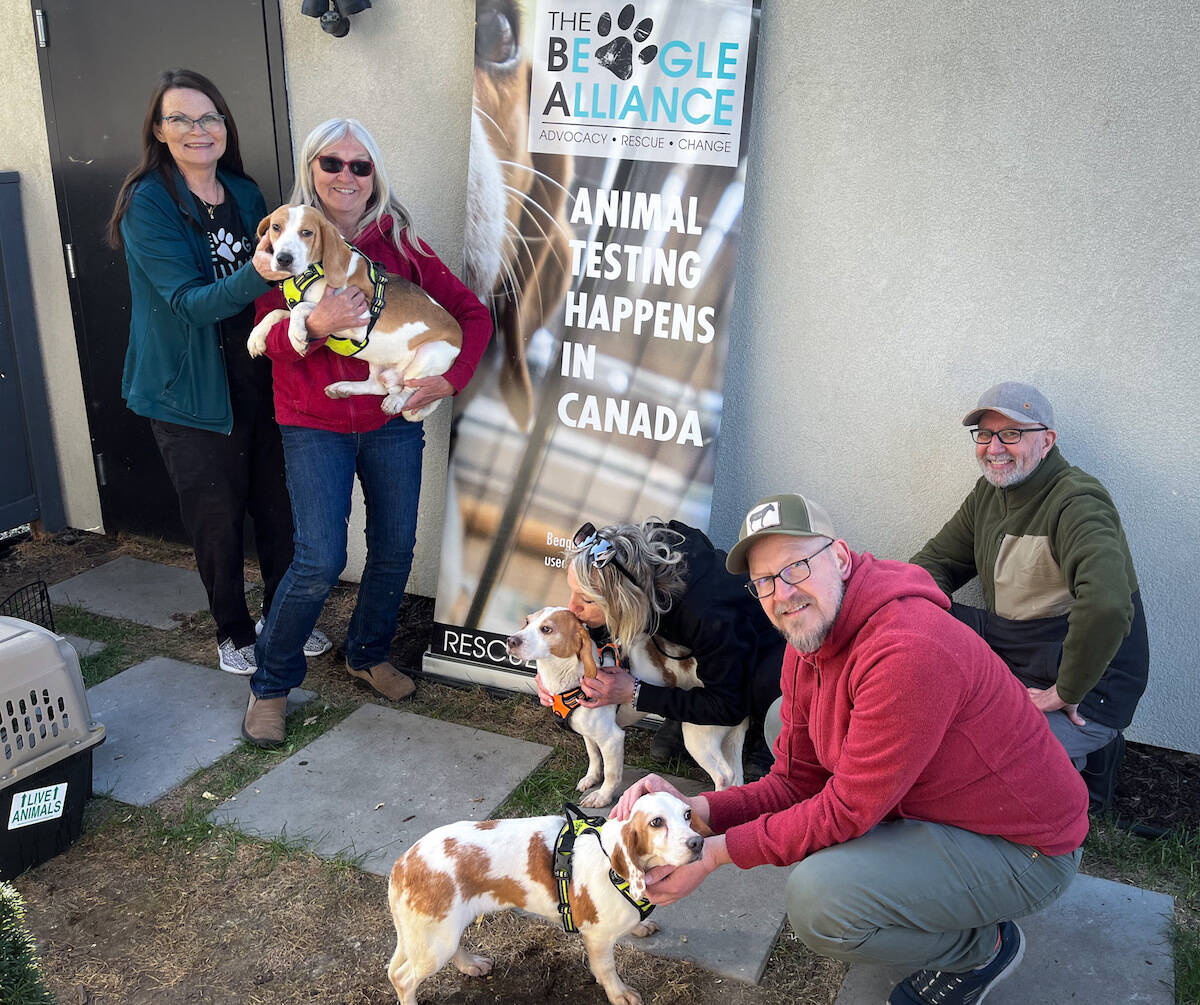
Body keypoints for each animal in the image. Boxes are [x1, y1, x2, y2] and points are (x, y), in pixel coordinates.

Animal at [246, 205, 460, 422]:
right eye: (276, 227)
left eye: (307, 232)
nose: (283, 259)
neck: (314, 271)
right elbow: (276, 312)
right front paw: (256, 337)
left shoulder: (358, 320)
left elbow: (302, 307)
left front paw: (296, 335)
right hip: (377, 360)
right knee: (377, 386)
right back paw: (343, 387)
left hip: (429, 354)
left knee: (411, 388)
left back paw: (396, 400)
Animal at [384, 796, 700, 1005]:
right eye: (656, 822)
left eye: (687, 814)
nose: (698, 843)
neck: (611, 859)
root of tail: (403, 863)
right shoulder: (597, 937)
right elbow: (606, 969)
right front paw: (619, 994)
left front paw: (640, 928)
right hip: (435, 942)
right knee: (402, 978)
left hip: (444, 931)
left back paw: (472, 965)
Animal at [508, 606, 748, 810]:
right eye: (527, 622)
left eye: (546, 629)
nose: (511, 640)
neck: (570, 678)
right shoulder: (589, 733)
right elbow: (594, 757)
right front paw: (591, 778)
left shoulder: (612, 738)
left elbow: (611, 773)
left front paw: (602, 796)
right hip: (728, 740)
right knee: (736, 777)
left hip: (697, 737)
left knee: (724, 775)